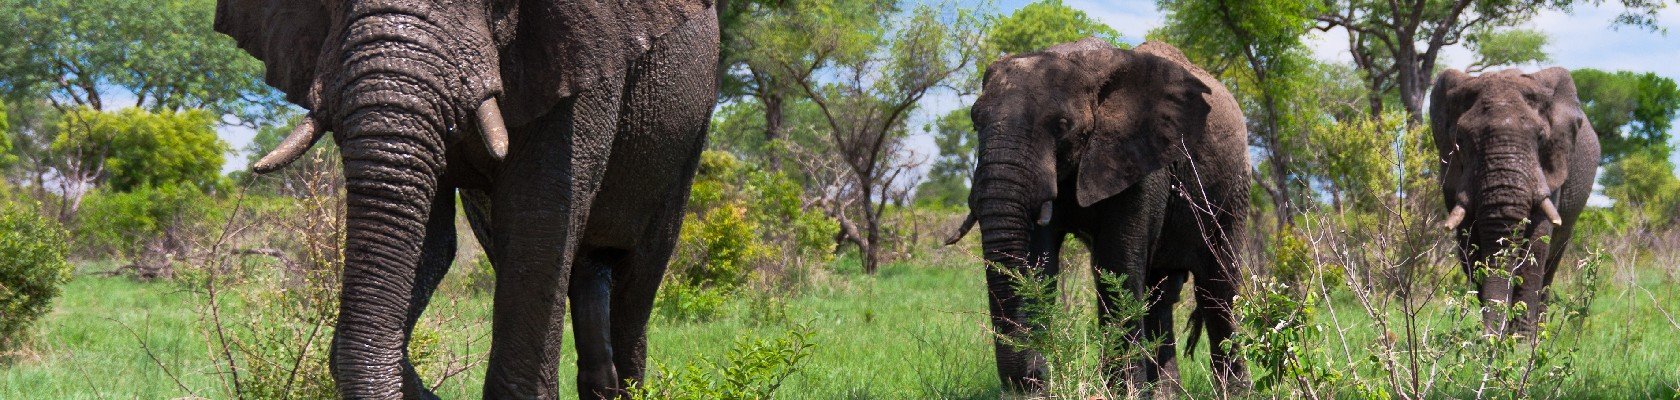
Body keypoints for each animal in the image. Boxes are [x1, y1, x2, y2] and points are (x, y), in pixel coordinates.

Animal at [213, 0, 719, 400]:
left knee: (640, 273)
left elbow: (539, 224)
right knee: (580, 268)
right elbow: (431, 243)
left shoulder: (584, 55)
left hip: (689, 131)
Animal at [947, 37, 1249, 393]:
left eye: (1062, 125)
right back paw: (1166, 394)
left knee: (1216, 288)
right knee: (1159, 294)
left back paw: (1236, 392)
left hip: (1233, 192)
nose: (1038, 377)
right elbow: (1038, 261)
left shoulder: (1140, 162)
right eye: (975, 121)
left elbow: (1116, 265)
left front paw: (1123, 392)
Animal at [1431, 68, 1599, 334]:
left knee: (1551, 264)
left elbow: (1537, 246)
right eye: (1462, 141)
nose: (1486, 338)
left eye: (1541, 138)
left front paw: (1520, 340)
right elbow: (1470, 249)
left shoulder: (1549, 170)